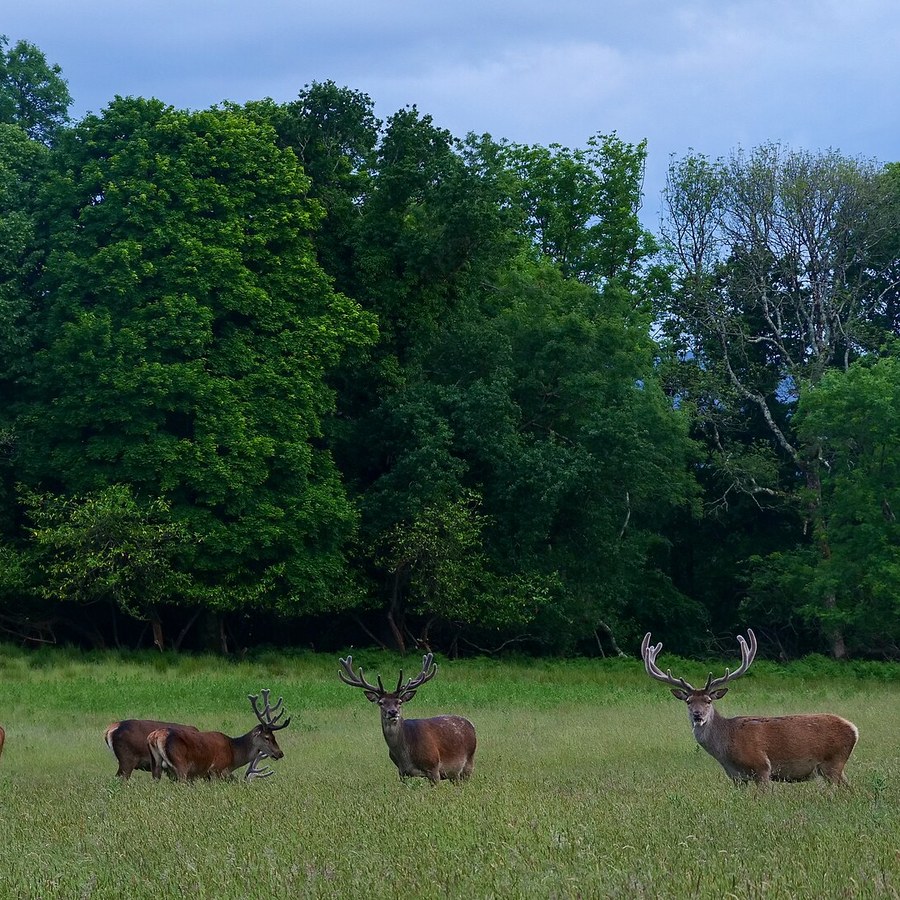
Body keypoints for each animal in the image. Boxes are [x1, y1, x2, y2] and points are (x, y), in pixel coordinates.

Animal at [147, 690, 290, 782]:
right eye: (267, 737)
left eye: (274, 736)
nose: (280, 753)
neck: (234, 754)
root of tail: (155, 737)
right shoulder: (217, 769)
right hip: (180, 764)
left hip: (156, 765)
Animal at [339, 652, 476, 784]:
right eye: (381, 702)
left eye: (399, 702)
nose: (393, 712)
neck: (405, 756)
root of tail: (470, 724)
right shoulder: (402, 772)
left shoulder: (433, 767)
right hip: (454, 774)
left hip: (469, 762)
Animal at [641, 629, 859, 786]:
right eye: (688, 701)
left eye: (709, 701)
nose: (697, 715)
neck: (727, 746)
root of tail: (854, 729)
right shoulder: (737, 778)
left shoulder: (762, 768)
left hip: (833, 762)